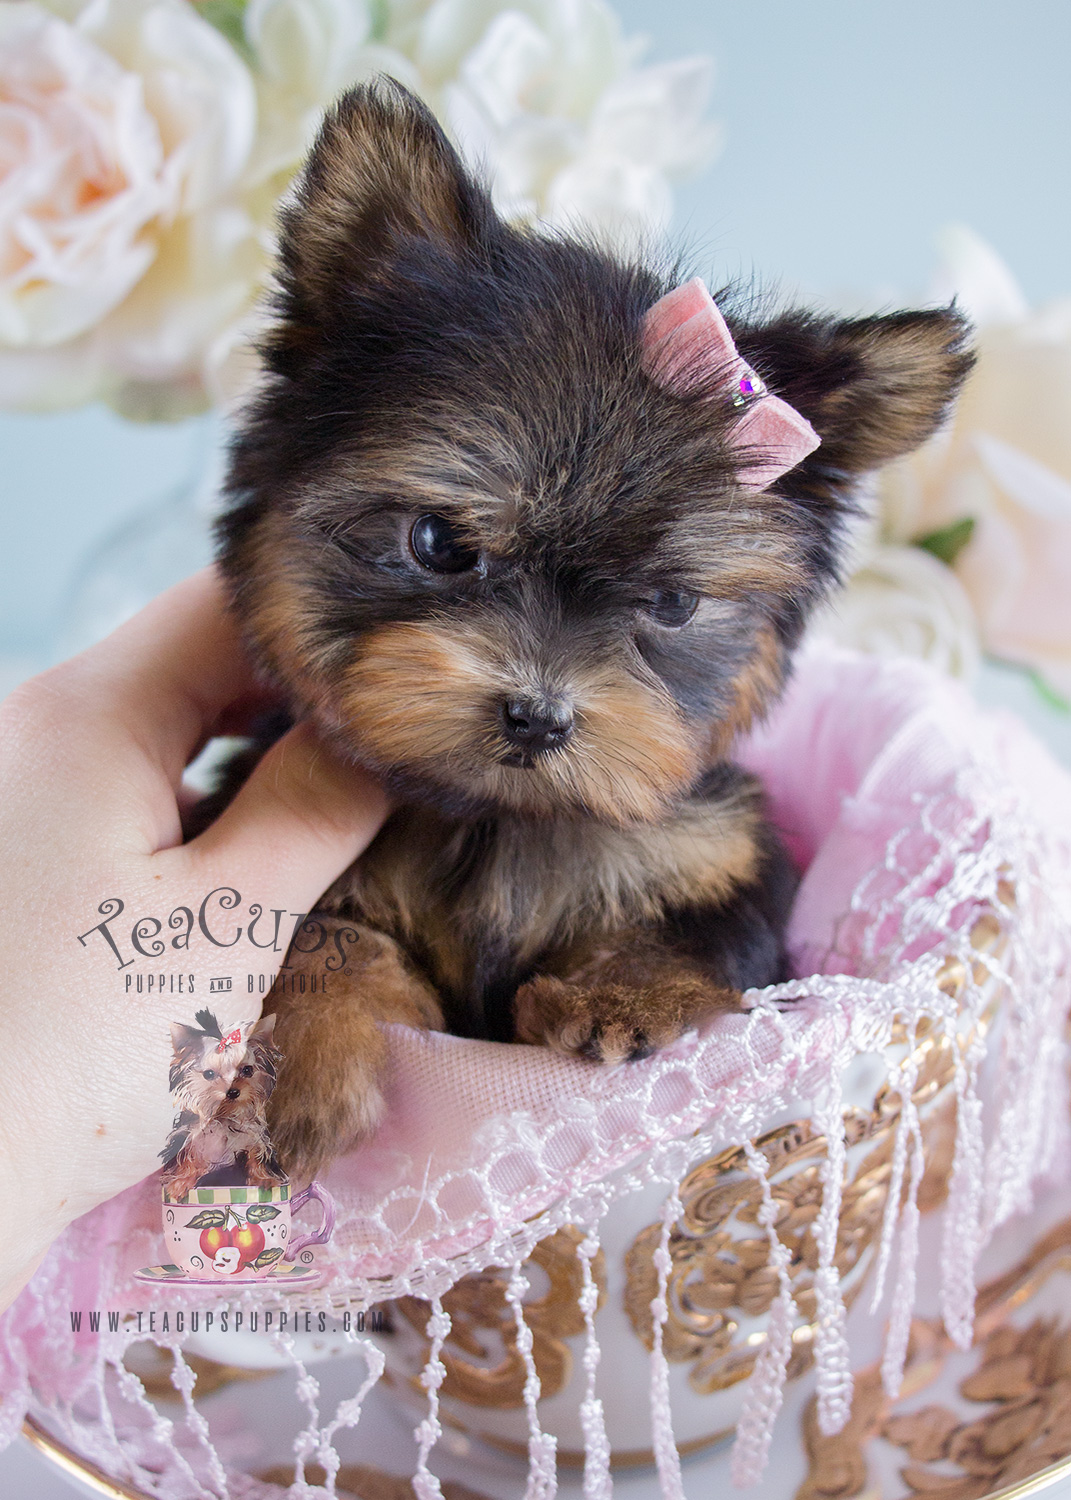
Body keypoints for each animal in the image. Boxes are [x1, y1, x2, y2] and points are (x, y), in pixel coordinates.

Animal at [159, 1008, 283, 1194]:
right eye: (209, 1074)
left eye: (247, 1070)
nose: (232, 1092)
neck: (224, 1116)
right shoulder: (190, 1137)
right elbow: (188, 1157)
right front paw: (180, 1182)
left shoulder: (254, 1139)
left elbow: (256, 1157)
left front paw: (264, 1179)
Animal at [213, 82, 972, 1176]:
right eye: (439, 542)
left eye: (672, 603)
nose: (536, 717)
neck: (495, 819)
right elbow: (307, 933)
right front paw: (298, 1068)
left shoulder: (726, 855)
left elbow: (697, 927)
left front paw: (623, 992)